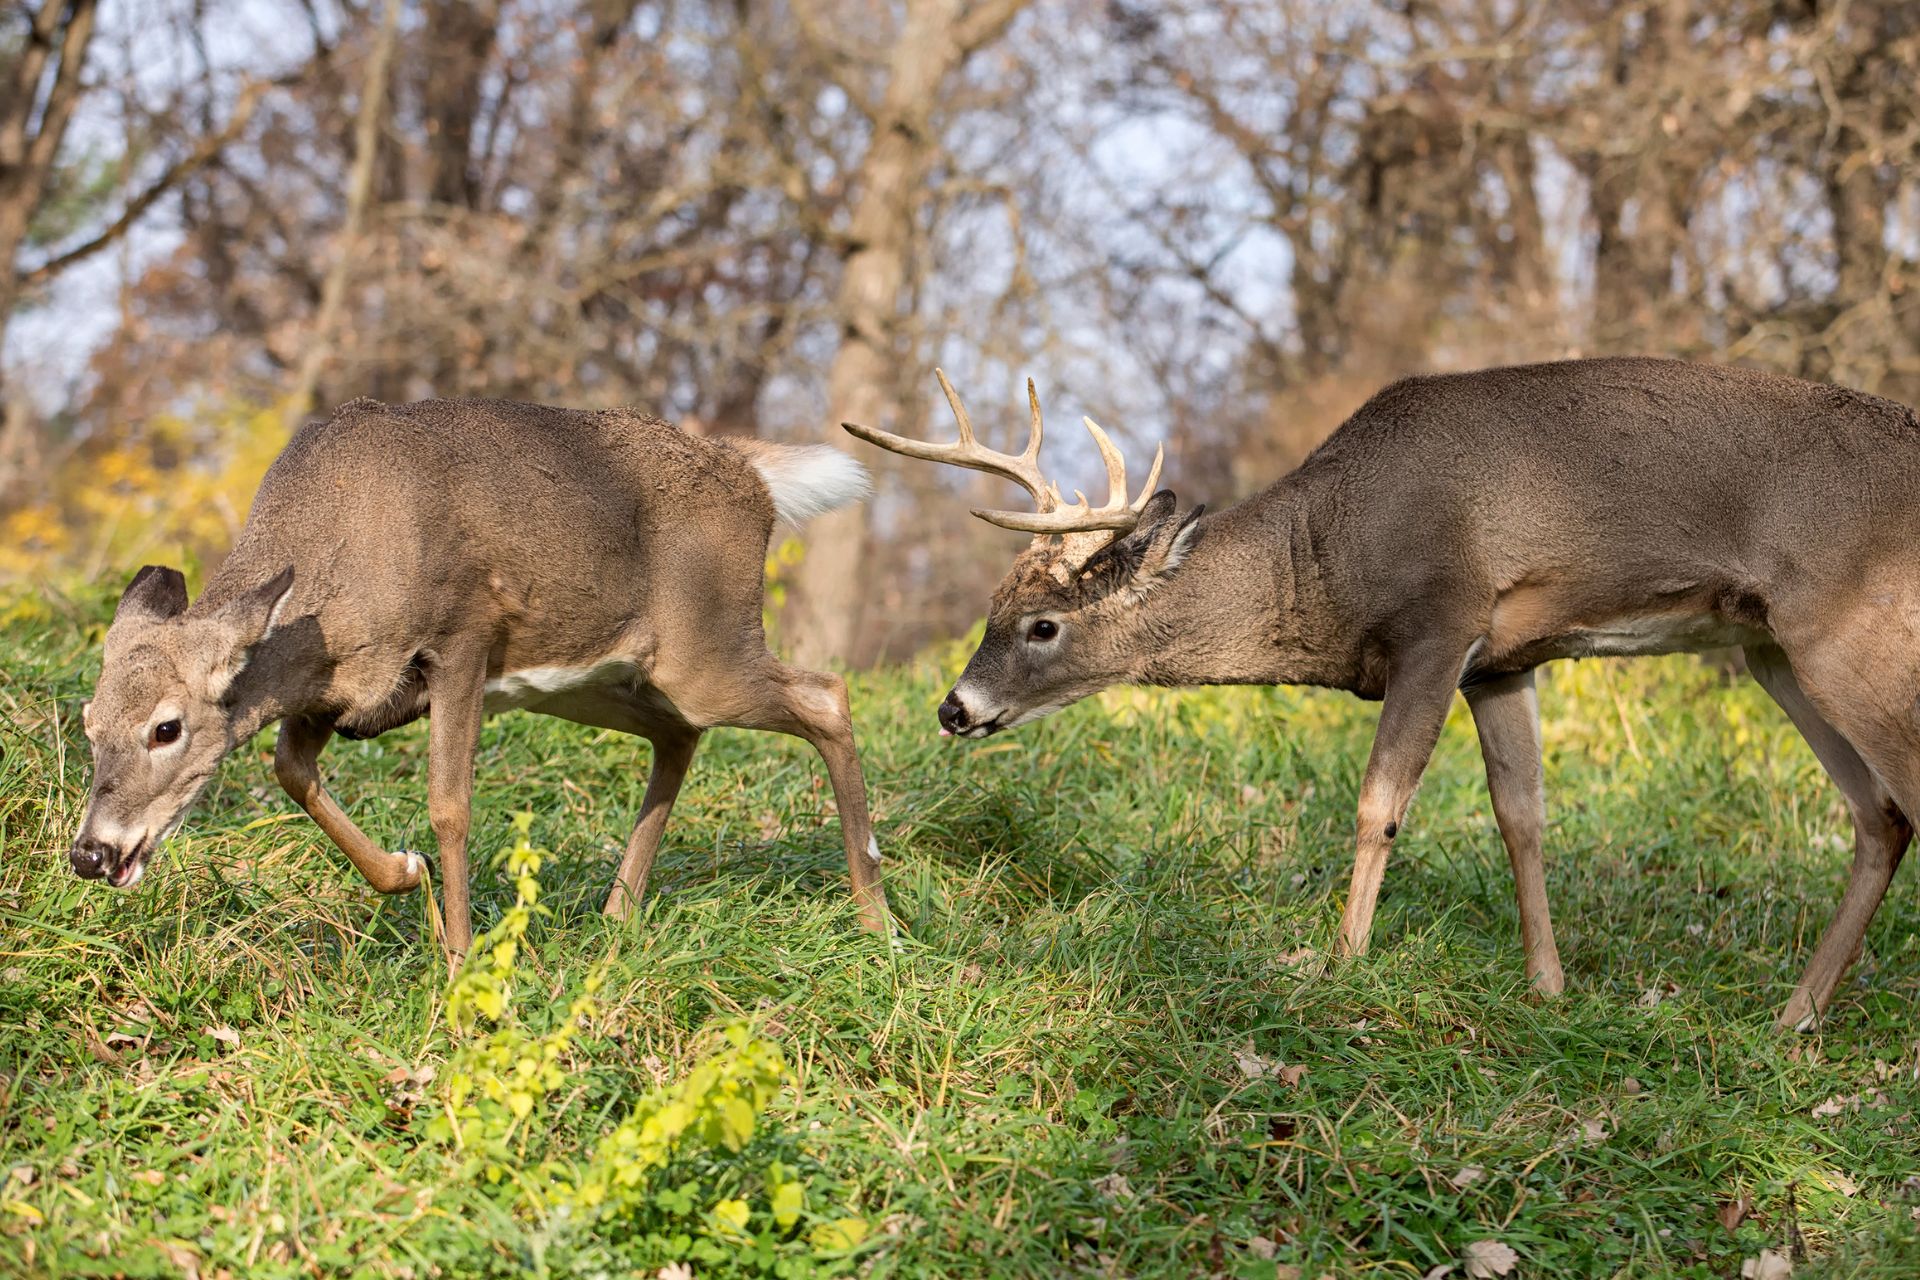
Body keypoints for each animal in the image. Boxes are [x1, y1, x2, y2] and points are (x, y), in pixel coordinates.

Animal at [67, 397, 890, 959]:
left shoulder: (460, 636)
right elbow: (291, 772)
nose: (89, 853)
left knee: (826, 695)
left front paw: (461, 960)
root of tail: (753, 476)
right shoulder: (330, 693)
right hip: (597, 680)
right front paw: (408, 875)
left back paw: (875, 921)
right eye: (88, 724)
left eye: (166, 727)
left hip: (704, 649)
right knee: (679, 735)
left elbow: (450, 806)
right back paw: (616, 917)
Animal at [852, 358, 1920, 1028]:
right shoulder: (1505, 661)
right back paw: (1793, 1017)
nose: (954, 707)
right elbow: (1522, 814)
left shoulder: (1440, 622)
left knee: (1904, 796)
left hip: (1843, 628)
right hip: (1771, 648)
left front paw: (1340, 961)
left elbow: (1379, 803)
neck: (1329, 559)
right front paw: (1548, 987)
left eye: (1041, 625)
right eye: (992, 608)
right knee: (1881, 816)